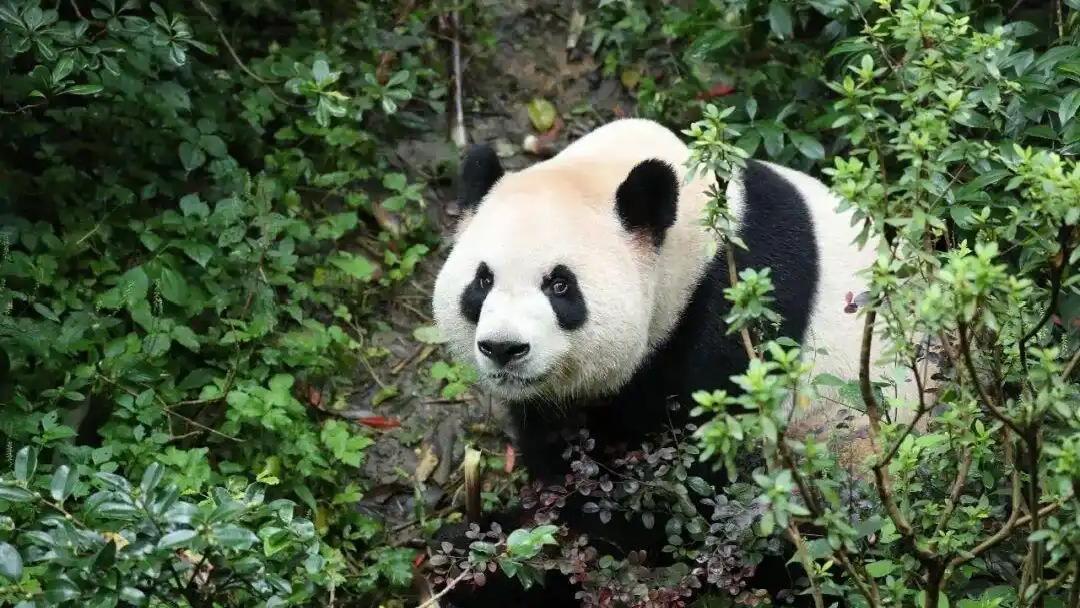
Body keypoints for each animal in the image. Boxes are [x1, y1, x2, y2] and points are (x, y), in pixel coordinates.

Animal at [429, 118, 921, 606]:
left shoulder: (736, 314)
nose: (503, 348)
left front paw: (492, 559)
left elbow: (679, 499)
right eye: (483, 281)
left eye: (560, 285)